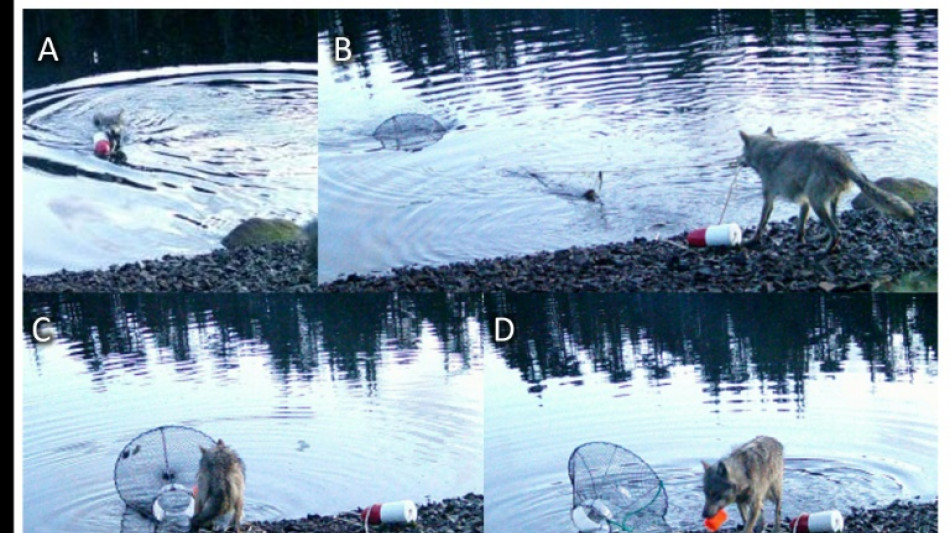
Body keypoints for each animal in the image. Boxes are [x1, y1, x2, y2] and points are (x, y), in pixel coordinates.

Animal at [739, 128, 915, 252]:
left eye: (741, 152)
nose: (738, 161)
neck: (765, 148)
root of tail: (843, 161)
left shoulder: (769, 197)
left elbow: (762, 221)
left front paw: (754, 239)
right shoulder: (804, 201)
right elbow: (801, 223)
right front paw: (799, 239)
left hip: (816, 200)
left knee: (837, 231)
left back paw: (827, 250)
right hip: (828, 199)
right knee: (836, 221)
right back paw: (824, 237)